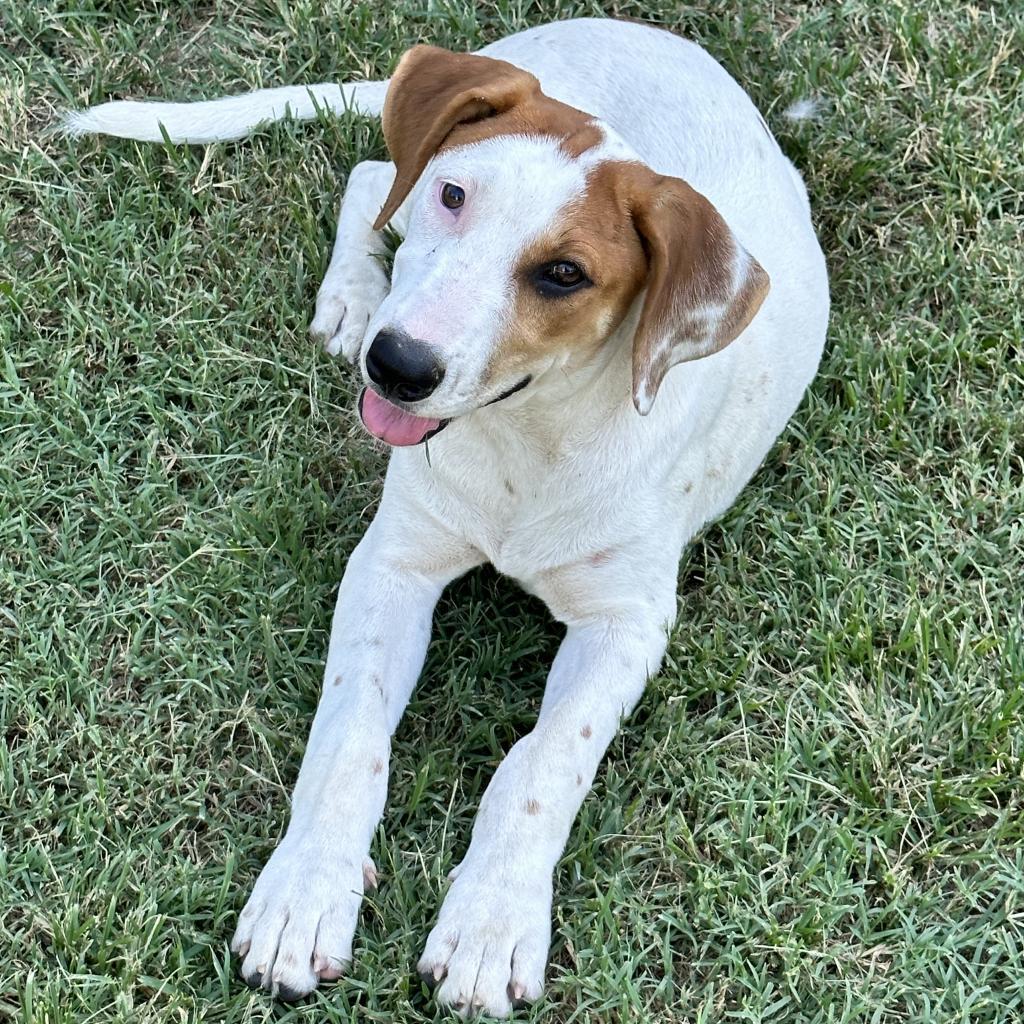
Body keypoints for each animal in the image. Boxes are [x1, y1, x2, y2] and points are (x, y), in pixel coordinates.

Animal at [66, 16, 831, 1015]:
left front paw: (491, 922)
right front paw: (304, 893)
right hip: (405, 172)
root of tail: (602, 27)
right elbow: (349, 736)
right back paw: (351, 295)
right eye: (456, 194)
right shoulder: (395, 561)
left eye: (564, 274)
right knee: (369, 176)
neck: (527, 440)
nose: (396, 364)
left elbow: (540, 766)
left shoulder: (626, 623)